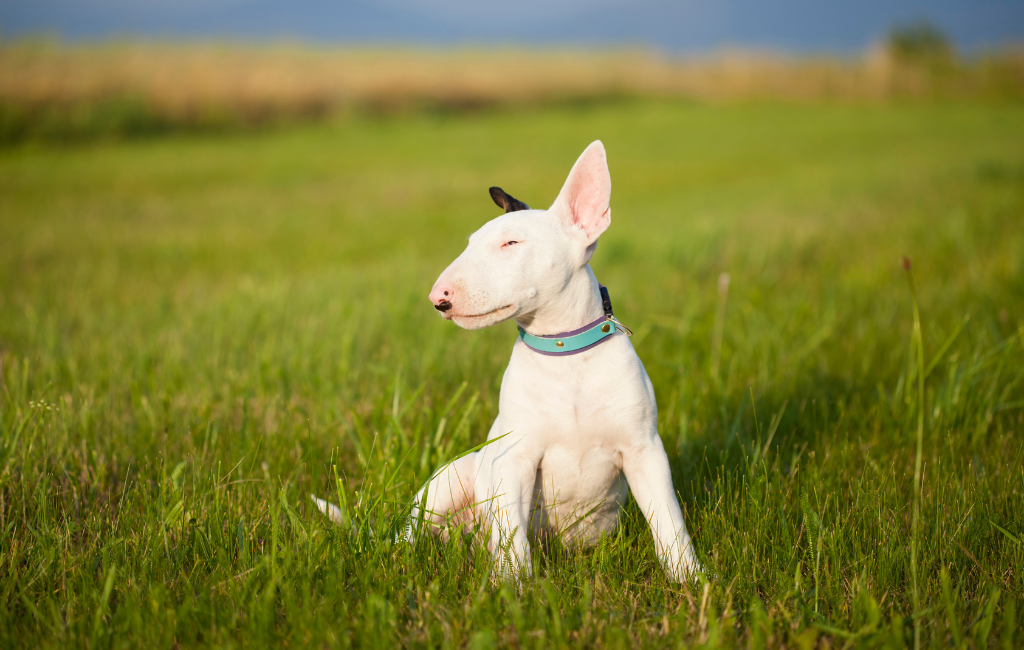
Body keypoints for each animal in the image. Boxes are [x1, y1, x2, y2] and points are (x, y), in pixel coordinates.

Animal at [317, 140, 704, 581]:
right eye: (469, 244)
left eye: (511, 244)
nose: (438, 298)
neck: (565, 356)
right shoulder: (513, 459)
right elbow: (512, 536)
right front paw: (513, 588)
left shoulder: (644, 452)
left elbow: (669, 521)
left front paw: (691, 582)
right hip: (450, 480)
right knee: (410, 534)